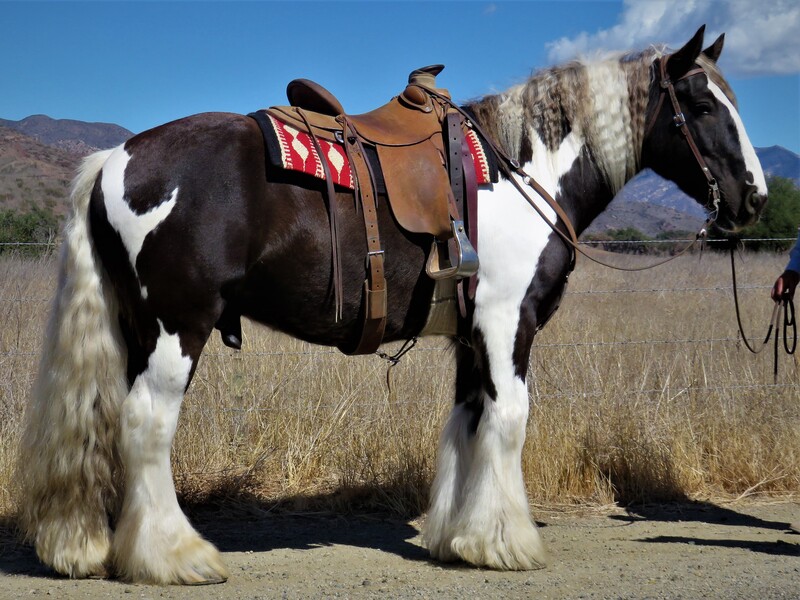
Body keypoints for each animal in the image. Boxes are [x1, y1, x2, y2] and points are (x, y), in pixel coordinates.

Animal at [20, 25, 768, 584]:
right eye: (703, 106)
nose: (755, 198)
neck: (520, 174)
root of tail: (118, 156)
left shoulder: (472, 336)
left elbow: (468, 424)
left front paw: (464, 538)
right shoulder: (508, 324)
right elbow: (509, 423)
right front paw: (509, 543)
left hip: (138, 329)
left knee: (106, 420)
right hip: (180, 327)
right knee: (146, 423)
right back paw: (174, 557)